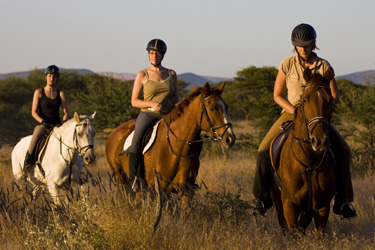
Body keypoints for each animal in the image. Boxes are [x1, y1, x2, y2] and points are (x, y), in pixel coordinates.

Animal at [105, 83, 235, 202]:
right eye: (212, 108)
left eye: (226, 107)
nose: (230, 139)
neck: (177, 149)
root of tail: (114, 132)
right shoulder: (160, 190)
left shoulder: (186, 192)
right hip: (120, 179)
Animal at [270, 68, 338, 238]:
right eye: (305, 99)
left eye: (330, 100)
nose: (319, 140)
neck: (309, 162)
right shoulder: (289, 205)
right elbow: (294, 233)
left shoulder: (322, 207)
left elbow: (316, 235)